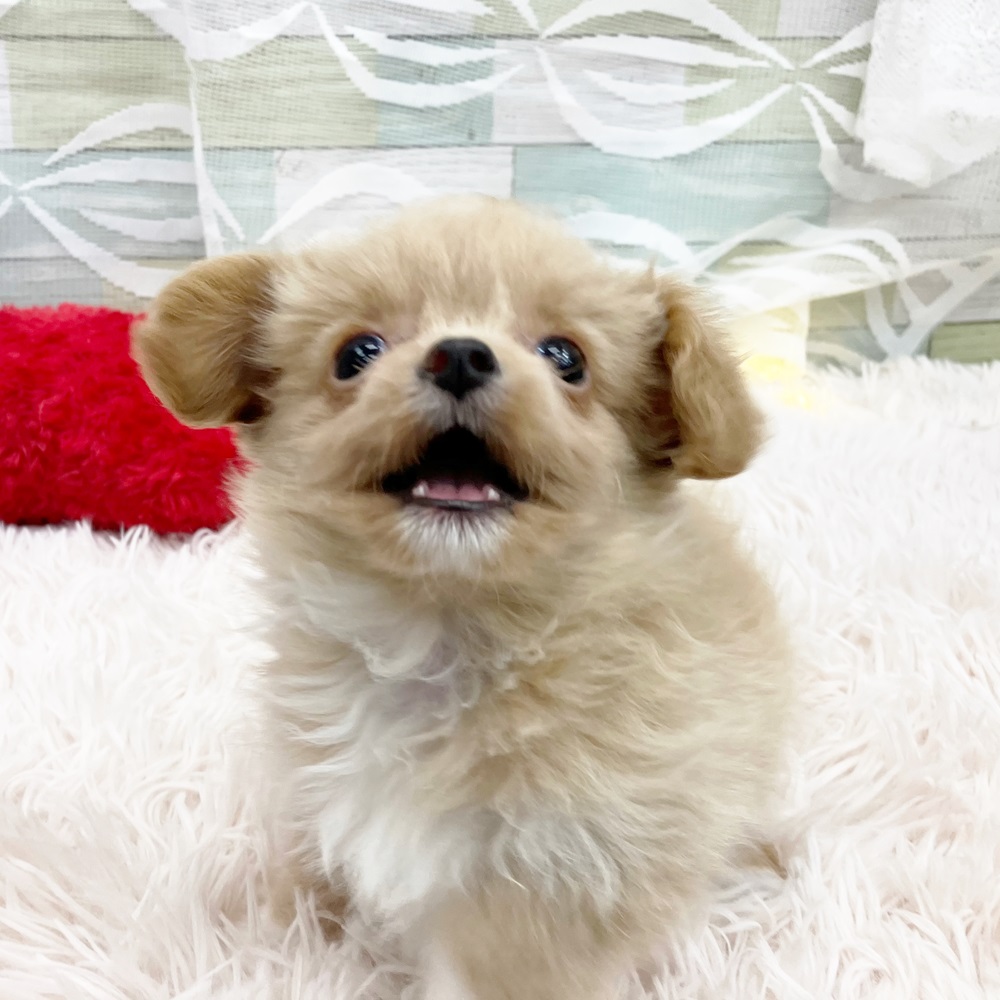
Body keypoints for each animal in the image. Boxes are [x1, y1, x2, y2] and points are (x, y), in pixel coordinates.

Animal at [133, 196, 791, 1000]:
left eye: (566, 358)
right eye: (356, 353)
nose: (461, 355)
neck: (442, 634)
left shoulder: (567, 870)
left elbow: (503, 971)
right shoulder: (315, 794)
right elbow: (307, 890)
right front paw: (277, 953)